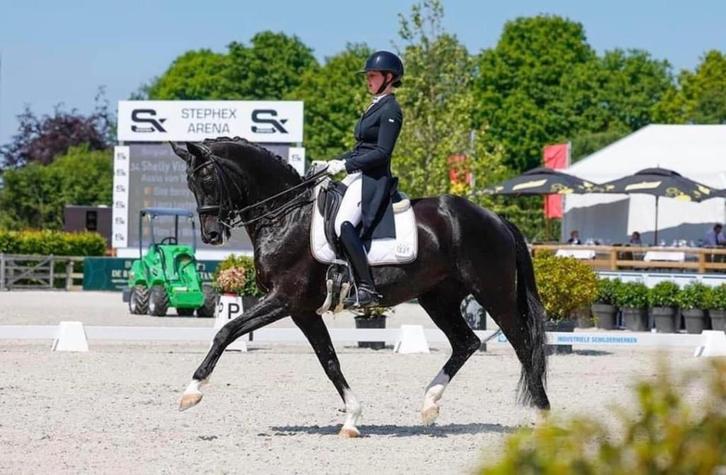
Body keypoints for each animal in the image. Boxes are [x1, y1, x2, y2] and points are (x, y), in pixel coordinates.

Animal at [172, 137, 549, 438]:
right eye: (189, 183)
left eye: (207, 179)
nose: (212, 235)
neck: (285, 216)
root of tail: (495, 218)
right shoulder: (302, 310)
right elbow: (329, 360)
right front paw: (352, 419)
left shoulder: (284, 299)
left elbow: (227, 331)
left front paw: (191, 391)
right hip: (438, 298)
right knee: (466, 342)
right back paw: (429, 404)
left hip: (494, 294)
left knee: (522, 345)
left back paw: (543, 415)